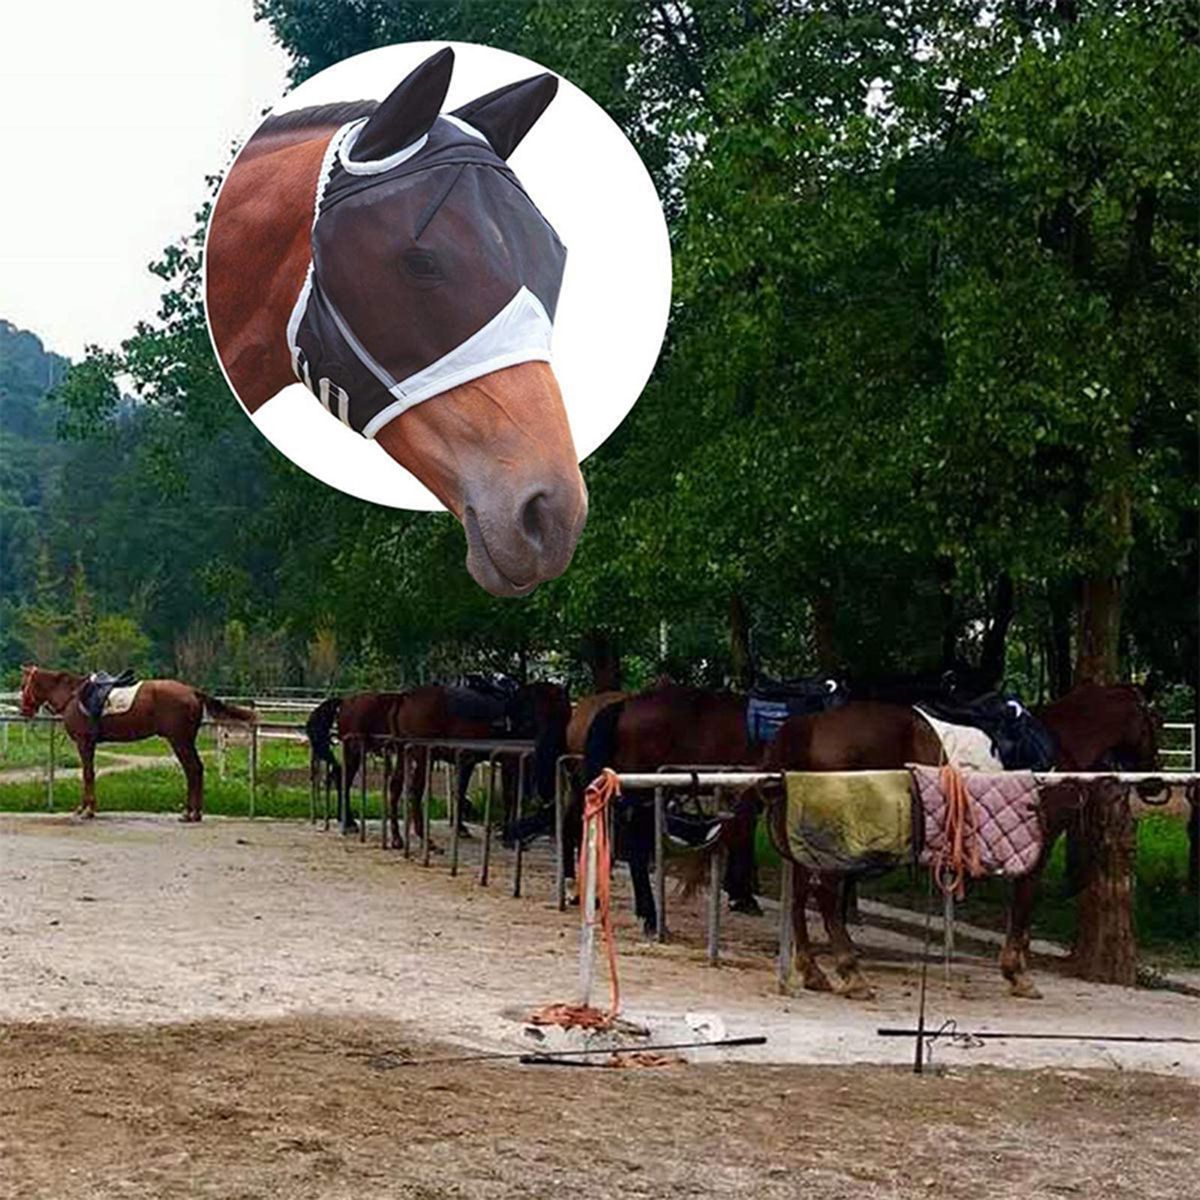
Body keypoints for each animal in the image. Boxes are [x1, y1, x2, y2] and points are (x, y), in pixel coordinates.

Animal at [18, 664, 257, 821]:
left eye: (23, 684)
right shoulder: (89, 744)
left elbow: (87, 774)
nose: (24, 711)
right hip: (185, 741)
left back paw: (191, 813)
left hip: (180, 741)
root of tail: (193, 691)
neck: (73, 696)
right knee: (195, 770)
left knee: (193, 769)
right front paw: (87, 808)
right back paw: (193, 812)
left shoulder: (84, 743)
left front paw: (87, 810)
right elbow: (89, 773)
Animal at [763, 683, 1162, 1000]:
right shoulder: (1040, 843)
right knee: (826, 893)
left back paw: (813, 971)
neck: (1059, 747)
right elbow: (1024, 902)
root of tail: (810, 726)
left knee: (801, 891)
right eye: (1154, 723)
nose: (1154, 785)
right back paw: (851, 973)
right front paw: (1018, 973)